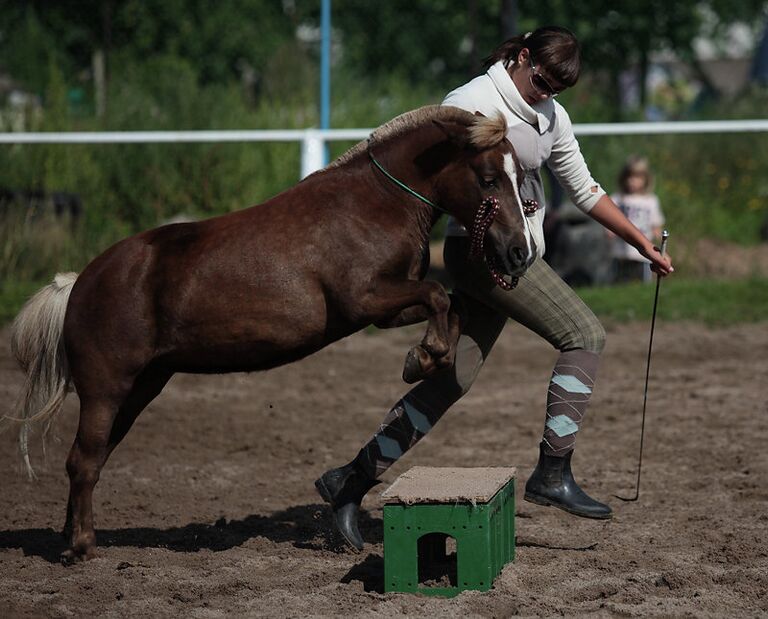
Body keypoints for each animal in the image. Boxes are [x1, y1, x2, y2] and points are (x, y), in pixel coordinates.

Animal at [7, 105, 536, 560]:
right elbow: (438, 295)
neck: (374, 204)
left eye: (519, 176)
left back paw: (70, 537)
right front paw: (423, 357)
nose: (519, 252)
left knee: (90, 460)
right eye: (489, 178)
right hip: (105, 390)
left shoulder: (385, 311)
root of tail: (80, 284)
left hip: (140, 389)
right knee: (82, 461)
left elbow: (448, 304)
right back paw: (80, 547)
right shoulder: (366, 299)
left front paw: (426, 355)